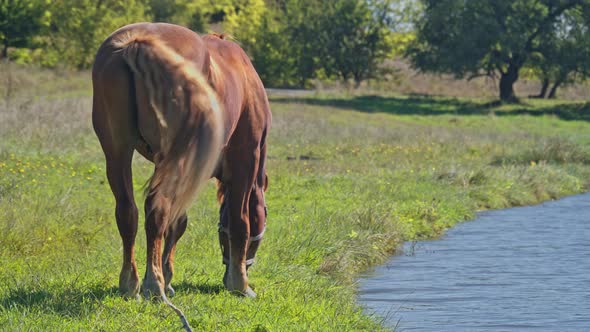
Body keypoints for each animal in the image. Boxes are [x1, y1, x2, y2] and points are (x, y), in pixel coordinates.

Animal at [93, 22, 272, 304]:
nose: (242, 266)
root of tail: (136, 44)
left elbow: (177, 223)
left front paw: (168, 277)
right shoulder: (246, 158)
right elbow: (239, 220)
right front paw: (240, 284)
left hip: (118, 152)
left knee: (128, 212)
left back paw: (132, 283)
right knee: (156, 209)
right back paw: (154, 284)